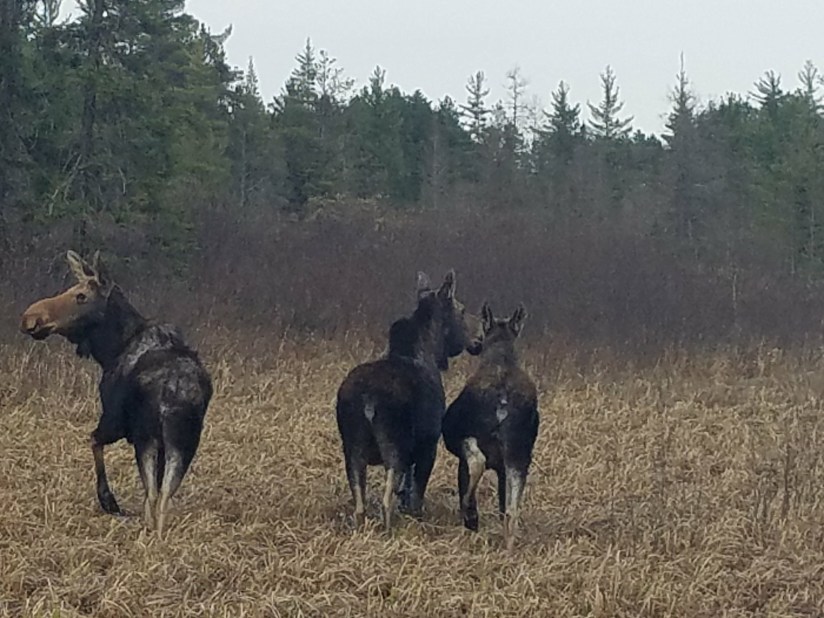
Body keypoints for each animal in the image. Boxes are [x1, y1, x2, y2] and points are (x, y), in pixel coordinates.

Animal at [19, 250, 213, 538]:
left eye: (81, 296)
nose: (31, 317)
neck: (109, 349)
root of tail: (175, 389)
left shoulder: (114, 420)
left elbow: (93, 441)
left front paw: (108, 500)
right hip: (184, 442)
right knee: (164, 495)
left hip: (147, 438)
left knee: (154, 495)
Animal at [335, 270, 481, 532]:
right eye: (462, 310)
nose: (480, 337)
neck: (430, 352)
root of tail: (367, 400)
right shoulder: (428, 444)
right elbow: (417, 493)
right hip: (395, 445)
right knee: (386, 500)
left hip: (352, 447)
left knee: (360, 505)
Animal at [441, 302, 539, 551]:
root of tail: (502, 403)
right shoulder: (504, 466)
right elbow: (504, 505)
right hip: (519, 453)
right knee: (512, 510)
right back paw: (509, 548)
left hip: (467, 437)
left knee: (476, 462)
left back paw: (469, 512)